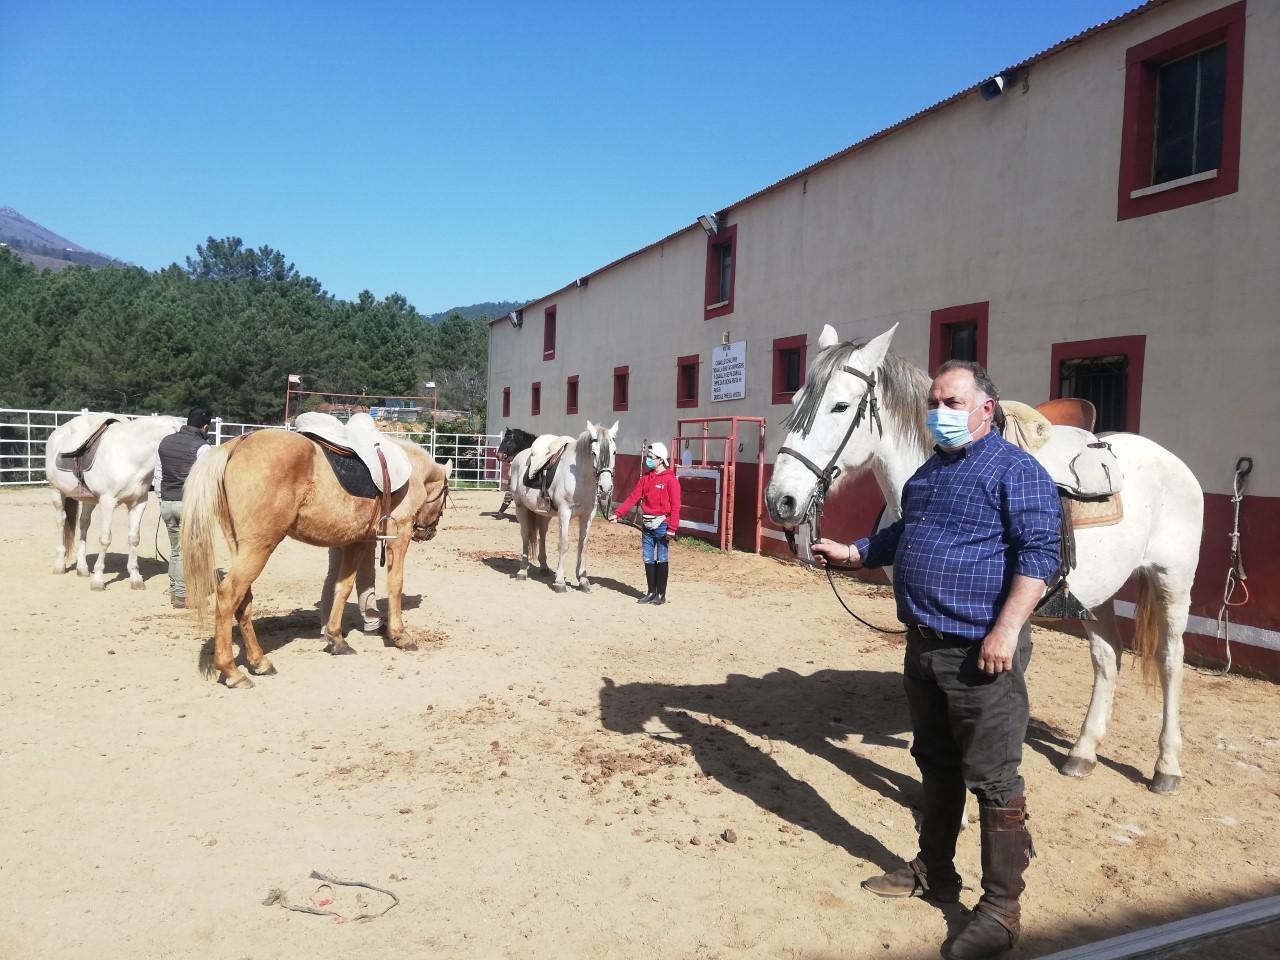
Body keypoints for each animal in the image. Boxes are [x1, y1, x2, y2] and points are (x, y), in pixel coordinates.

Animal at [45, 414, 186, 591]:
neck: (129, 455)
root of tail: (57, 434)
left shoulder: (138, 503)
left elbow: (134, 538)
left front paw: (135, 578)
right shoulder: (107, 502)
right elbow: (105, 539)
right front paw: (98, 580)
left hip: (89, 499)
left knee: (84, 523)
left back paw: (82, 568)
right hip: (56, 491)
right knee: (61, 521)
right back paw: (59, 565)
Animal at [183, 430, 453, 691]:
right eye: (445, 496)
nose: (429, 532)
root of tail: (238, 443)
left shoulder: (356, 542)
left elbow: (343, 588)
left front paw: (336, 639)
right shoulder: (400, 535)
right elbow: (396, 584)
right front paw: (399, 635)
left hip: (241, 548)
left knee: (243, 601)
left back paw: (259, 662)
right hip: (258, 547)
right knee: (228, 595)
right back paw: (232, 671)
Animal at [506, 419, 616, 593]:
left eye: (614, 452)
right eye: (593, 453)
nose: (605, 487)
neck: (580, 477)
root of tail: (519, 457)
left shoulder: (588, 514)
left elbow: (583, 545)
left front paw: (583, 580)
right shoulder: (565, 512)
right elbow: (564, 544)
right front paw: (560, 582)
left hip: (545, 513)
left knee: (542, 534)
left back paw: (544, 567)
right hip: (521, 507)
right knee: (525, 535)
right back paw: (522, 571)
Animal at [762, 325, 1203, 798]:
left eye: (840, 405)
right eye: (795, 402)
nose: (780, 500)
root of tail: (1170, 460)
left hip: (1173, 581)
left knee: (1171, 661)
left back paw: (1166, 766)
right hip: (1099, 594)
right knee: (1107, 658)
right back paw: (1082, 753)